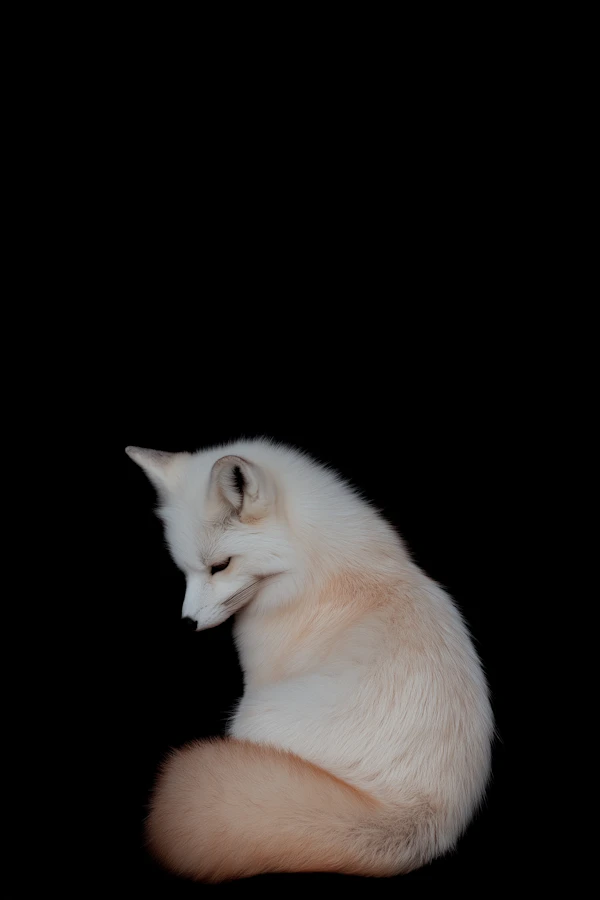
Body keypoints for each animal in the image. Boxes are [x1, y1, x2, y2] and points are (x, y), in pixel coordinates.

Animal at [126, 438, 493, 881]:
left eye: (220, 566)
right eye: (184, 570)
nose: (187, 623)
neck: (311, 568)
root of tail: (424, 813)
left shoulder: (258, 678)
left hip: (252, 713)